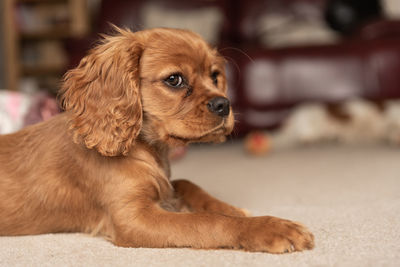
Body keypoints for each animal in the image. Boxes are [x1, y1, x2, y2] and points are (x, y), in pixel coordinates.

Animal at [0, 28, 314, 254]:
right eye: (174, 79)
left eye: (215, 76)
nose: (224, 105)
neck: (147, 149)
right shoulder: (133, 219)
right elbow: (205, 221)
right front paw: (269, 228)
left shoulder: (164, 189)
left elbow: (186, 184)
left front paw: (230, 208)